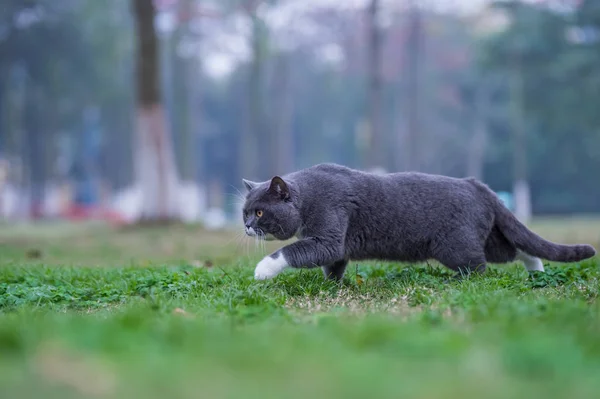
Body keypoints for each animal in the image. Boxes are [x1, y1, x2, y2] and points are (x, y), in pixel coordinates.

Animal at [240, 162, 596, 282]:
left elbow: (293, 251)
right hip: (485, 236)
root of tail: (476, 185)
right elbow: (334, 262)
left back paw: (462, 283)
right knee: (515, 249)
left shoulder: (328, 229)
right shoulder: (336, 243)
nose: (245, 226)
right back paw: (537, 273)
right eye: (244, 211)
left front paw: (261, 270)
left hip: (455, 245)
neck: (309, 196)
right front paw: (333, 286)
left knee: (480, 267)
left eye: (259, 212)